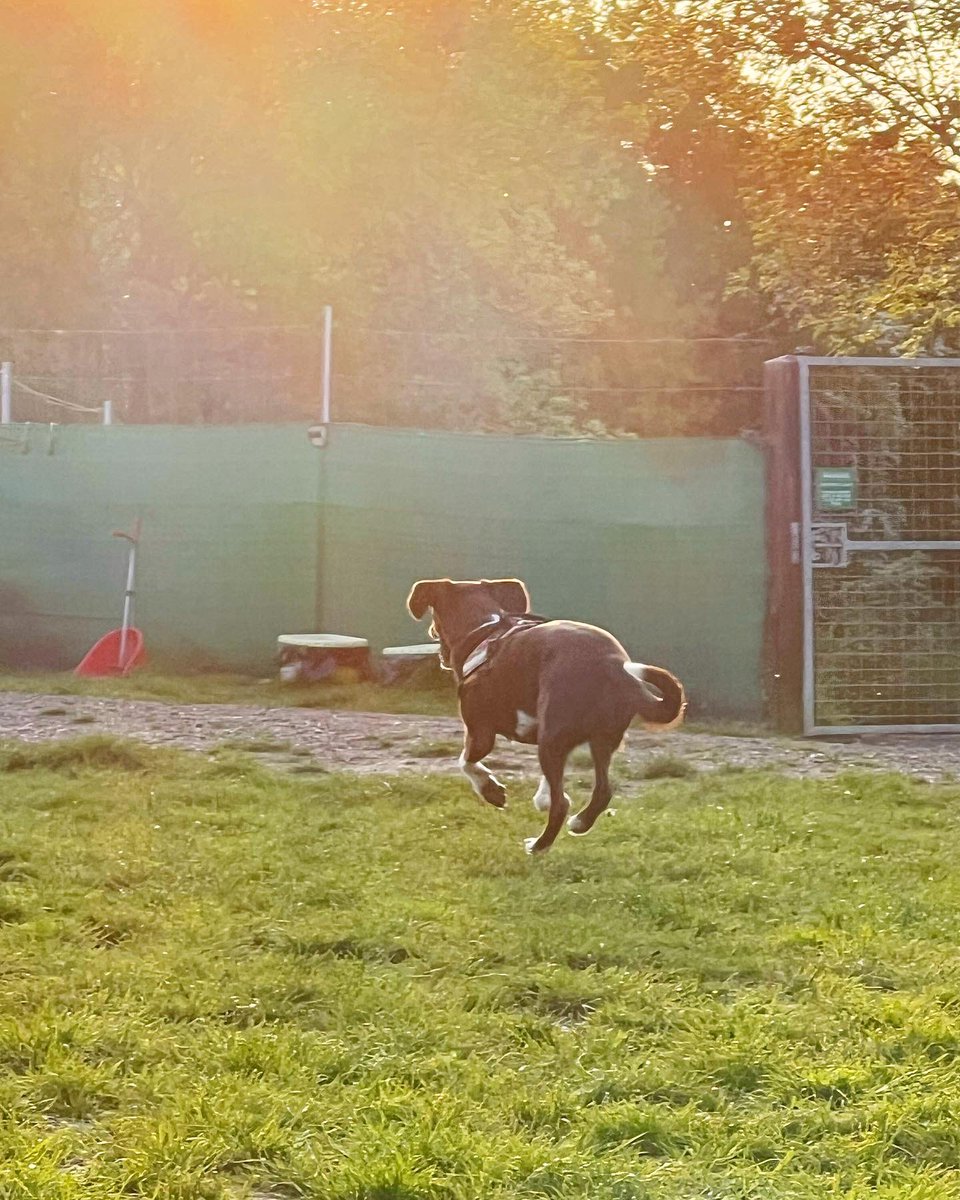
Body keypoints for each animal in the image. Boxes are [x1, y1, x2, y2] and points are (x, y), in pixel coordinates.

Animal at [403, 578, 681, 854]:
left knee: (562, 805)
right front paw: (542, 796)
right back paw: (579, 823)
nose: (432, 635)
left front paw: (490, 790)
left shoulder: (480, 732)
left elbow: (466, 762)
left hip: (551, 741)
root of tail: (615, 668)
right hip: (601, 741)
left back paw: (539, 845)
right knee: (603, 791)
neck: (485, 626)